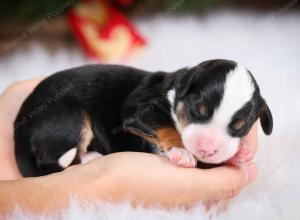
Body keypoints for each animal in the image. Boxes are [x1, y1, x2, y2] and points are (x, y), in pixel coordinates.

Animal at [14, 58, 272, 177]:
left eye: (240, 126)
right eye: (197, 111)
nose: (206, 149)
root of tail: (21, 118)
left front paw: (239, 154)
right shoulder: (137, 106)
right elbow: (165, 125)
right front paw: (181, 151)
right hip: (69, 117)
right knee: (50, 161)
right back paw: (90, 158)